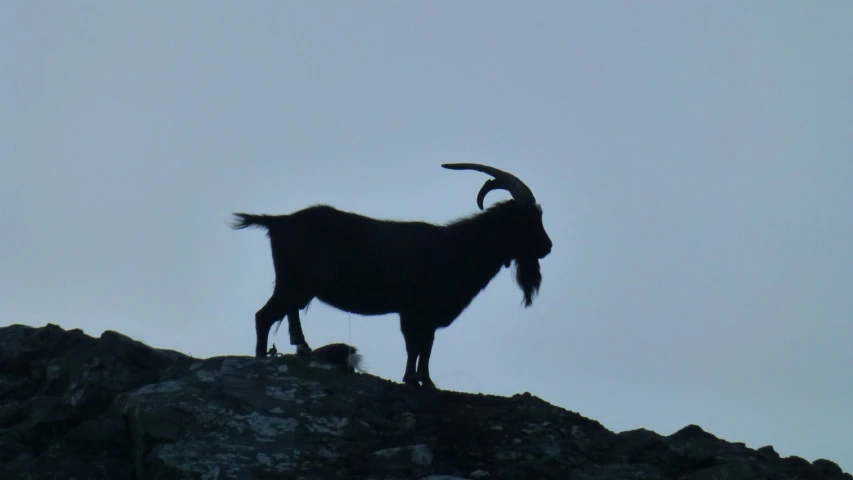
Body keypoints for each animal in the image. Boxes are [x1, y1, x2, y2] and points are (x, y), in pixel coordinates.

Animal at [233, 163, 552, 388]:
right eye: (529, 219)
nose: (548, 247)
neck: (459, 247)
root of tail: (278, 222)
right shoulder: (415, 309)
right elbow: (416, 345)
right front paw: (415, 380)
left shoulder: (424, 315)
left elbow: (425, 346)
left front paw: (424, 381)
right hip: (296, 281)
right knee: (265, 315)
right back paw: (263, 357)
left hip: (296, 284)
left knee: (287, 311)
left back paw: (302, 347)